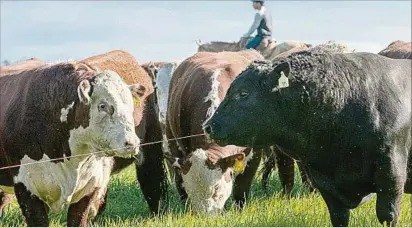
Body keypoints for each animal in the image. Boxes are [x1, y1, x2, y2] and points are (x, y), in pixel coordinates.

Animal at [206, 50, 412, 226]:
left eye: (243, 93)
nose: (208, 126)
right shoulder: (325, 182)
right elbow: (339, 217)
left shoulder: (391, 173)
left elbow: (388, 215)